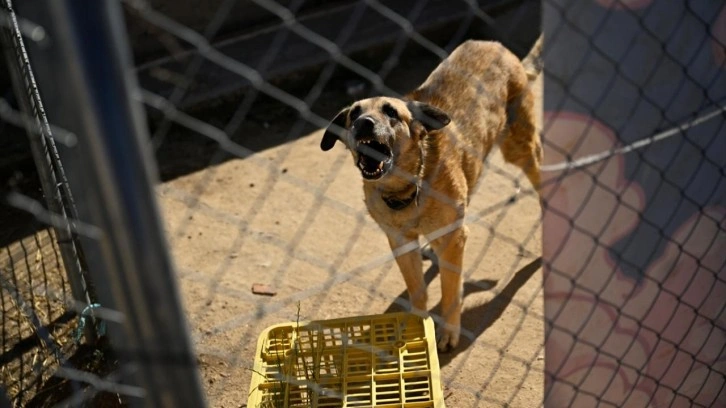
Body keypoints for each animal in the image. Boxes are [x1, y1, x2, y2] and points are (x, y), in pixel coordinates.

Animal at [322, 38, 544, 350]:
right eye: (353, 113)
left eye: (391, 112)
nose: (363, 123)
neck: (407, 187)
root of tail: (497, 46)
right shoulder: (401, 242)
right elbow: (418, 290)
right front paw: (418, 328)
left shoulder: (451, 238)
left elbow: (450, 292)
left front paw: (448, 331)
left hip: (519, 148)